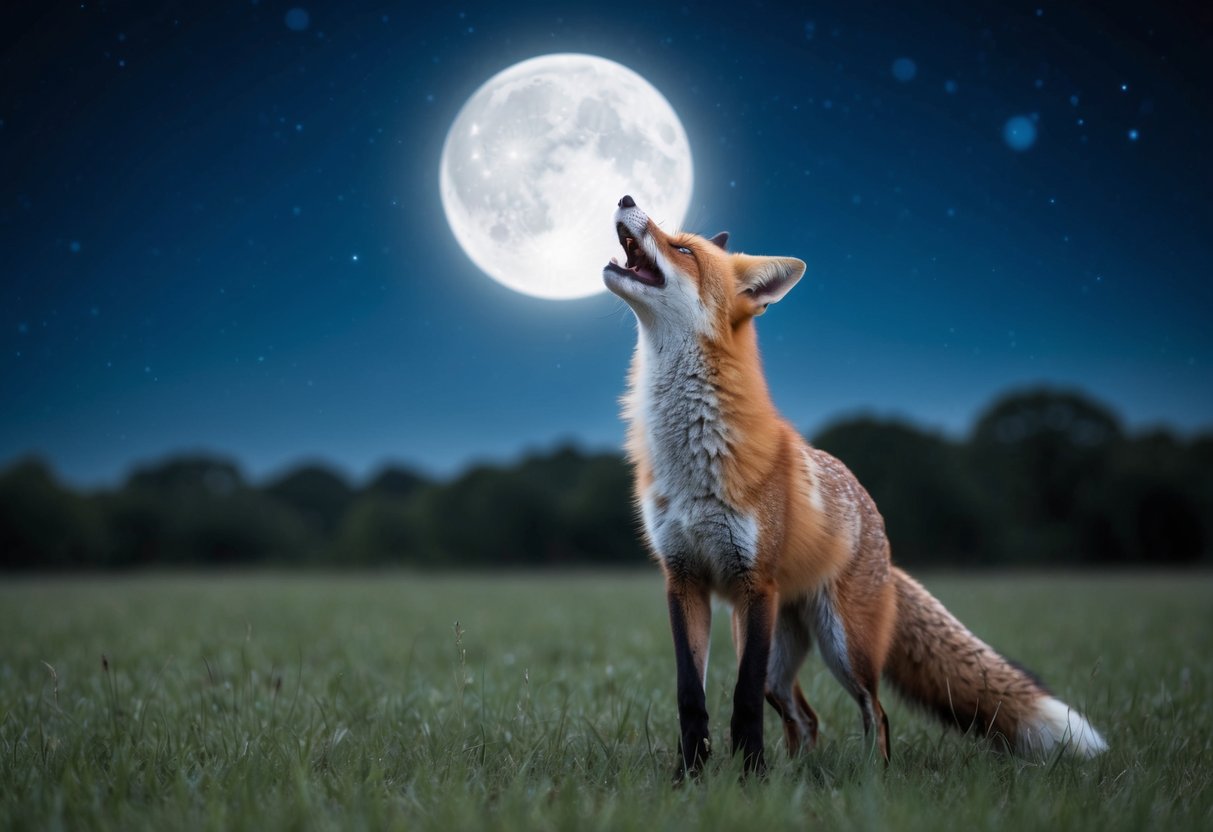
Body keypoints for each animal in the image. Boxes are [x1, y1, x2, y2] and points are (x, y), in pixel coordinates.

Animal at [601, 194, 1108, 777]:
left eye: (683, 249)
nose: (626, 198)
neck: (689, 461)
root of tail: (879, 533)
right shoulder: (683, 580)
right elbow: (692, 697)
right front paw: (693, 777)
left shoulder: (754, 582)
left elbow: (742, 701)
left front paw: (748, 778)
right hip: (772, 647)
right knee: (807, 719)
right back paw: (794, 776)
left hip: (840, 646)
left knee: (875, 712)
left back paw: (872, 777)